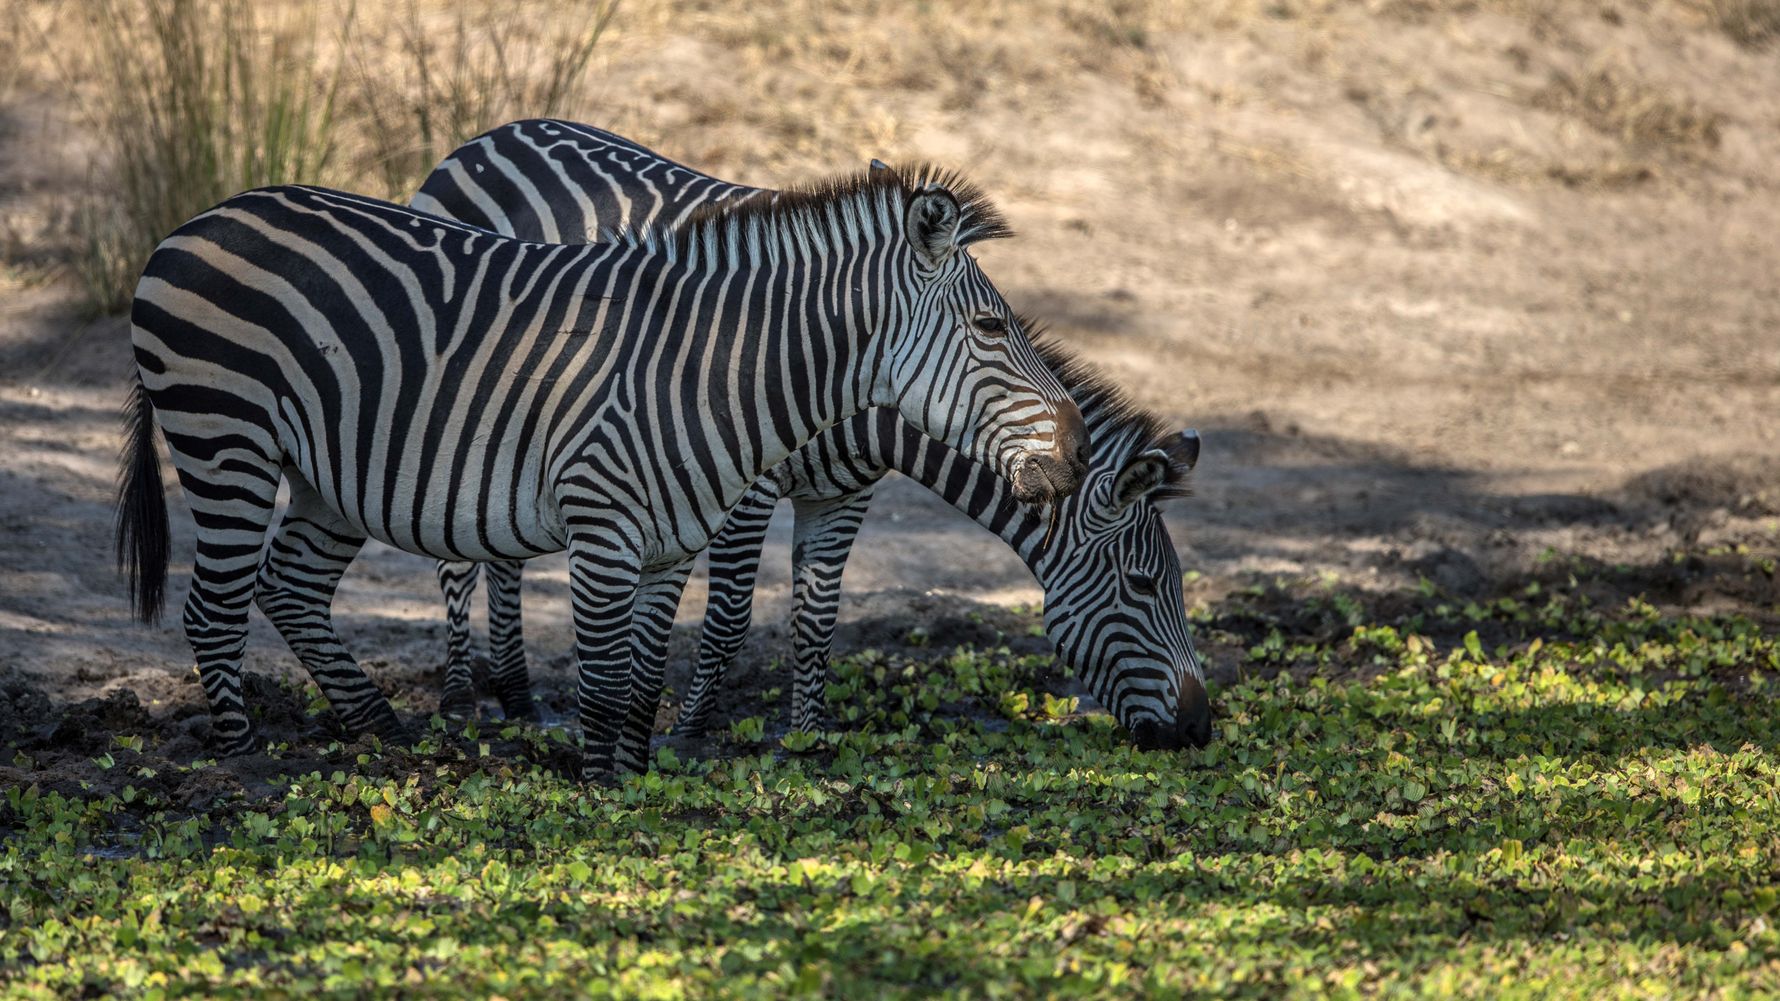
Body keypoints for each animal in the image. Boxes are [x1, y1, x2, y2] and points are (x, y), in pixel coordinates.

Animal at [115, 168, 1091, 781]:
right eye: (994, 328)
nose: (1077, 451)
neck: (710, 372)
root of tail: (193, 223)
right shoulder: (601, 528)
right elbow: (605, 674)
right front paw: (597, 794)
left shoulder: (667, 545)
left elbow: (644, 675)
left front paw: (632, 778)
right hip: (227, 436)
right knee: (215, 609)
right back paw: (241, 764)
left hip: (327, 478)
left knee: (291, 587)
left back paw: (384, 734)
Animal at [417, 120, 1212, 750]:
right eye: (1145, 586)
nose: (1199, 730)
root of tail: (490, 135)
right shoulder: (745, 485)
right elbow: (730, 618)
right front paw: (688, 732)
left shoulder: (844, 496)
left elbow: (817, 618)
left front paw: (807, 739)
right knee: (459, 557)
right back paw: (460, 703)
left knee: (502, 551)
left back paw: (518, 698)